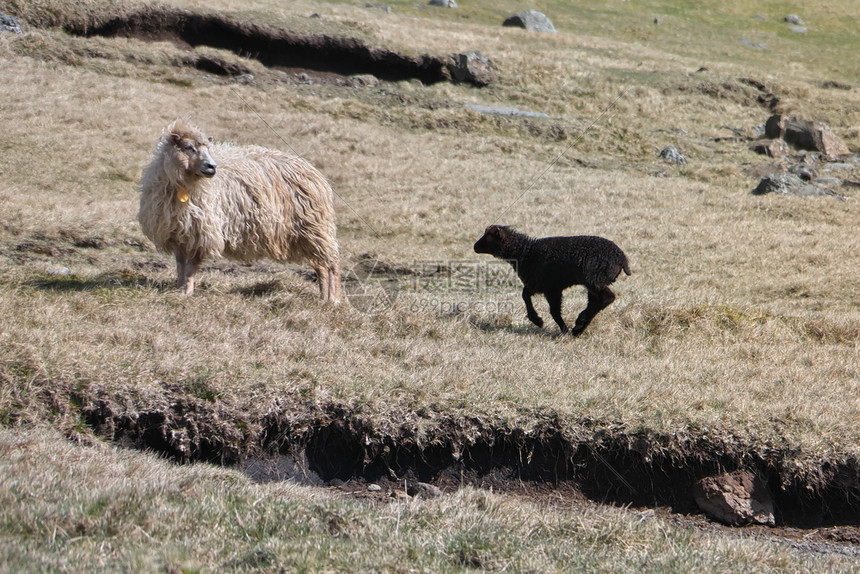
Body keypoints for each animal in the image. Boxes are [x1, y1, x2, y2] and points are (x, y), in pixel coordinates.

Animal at [474, 226, 628, 338]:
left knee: (607, 298)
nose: (475, 246)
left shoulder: (549, 287)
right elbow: (526, 296)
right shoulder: (541, 285)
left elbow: (552, 311)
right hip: (594, 283)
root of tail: (622, 259)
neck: (525, 252)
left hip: (594, 279)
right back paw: (578, 328)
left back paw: (579, 323)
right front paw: (539, 321)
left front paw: (545, 324)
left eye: (488, 238)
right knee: (596, 301)